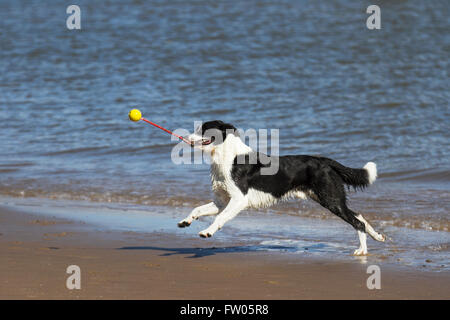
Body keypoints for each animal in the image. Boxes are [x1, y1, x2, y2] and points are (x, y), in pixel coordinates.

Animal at [178, 120, 384, 255]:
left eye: (203, 129)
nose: (185, 137)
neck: (228, 157)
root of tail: (325, 161)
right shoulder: (222, 201)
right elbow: (198, 209)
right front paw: (185, 222)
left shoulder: (239, 200)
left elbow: (220, 217)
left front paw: (207, 232)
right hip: (328, 197)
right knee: (359, 216)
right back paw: (378, 237)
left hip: (330, 198)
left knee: (357, 221)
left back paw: (362, 251)